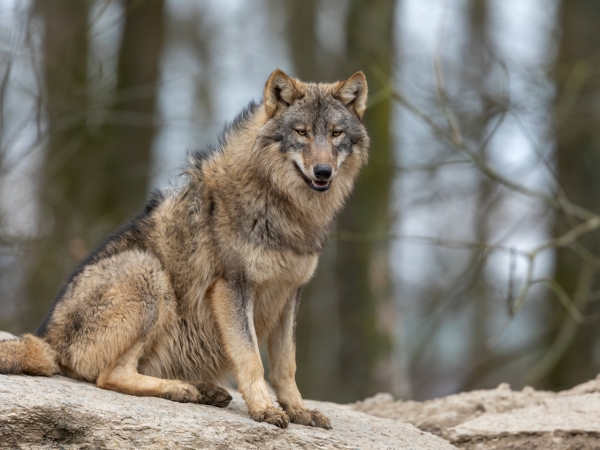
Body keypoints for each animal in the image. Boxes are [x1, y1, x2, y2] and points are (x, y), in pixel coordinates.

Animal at [0, 69, 370, 428]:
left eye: (336, 134)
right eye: (302, 132)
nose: (323, 171)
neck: (283, 206)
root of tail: (47, 340)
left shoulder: (289, 293)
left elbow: (286, 365)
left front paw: (299, 411)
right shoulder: (233, 287)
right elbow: (251, 358)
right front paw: (264, 409)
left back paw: (204, 390)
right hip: (148, 274)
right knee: (110, 376)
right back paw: (181, 389)